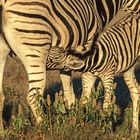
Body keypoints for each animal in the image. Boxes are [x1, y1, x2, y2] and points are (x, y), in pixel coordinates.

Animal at [0, 0, 139, 130]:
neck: (97, 6)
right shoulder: (89, 44)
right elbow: (85, 91)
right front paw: (81, 120)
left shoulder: (67, 59)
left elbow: (69, 93)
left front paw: (72, 120)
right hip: (36, 45)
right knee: (33, 95)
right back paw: (44, 127)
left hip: (5, 50)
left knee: (2, 96)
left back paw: (3, 131)